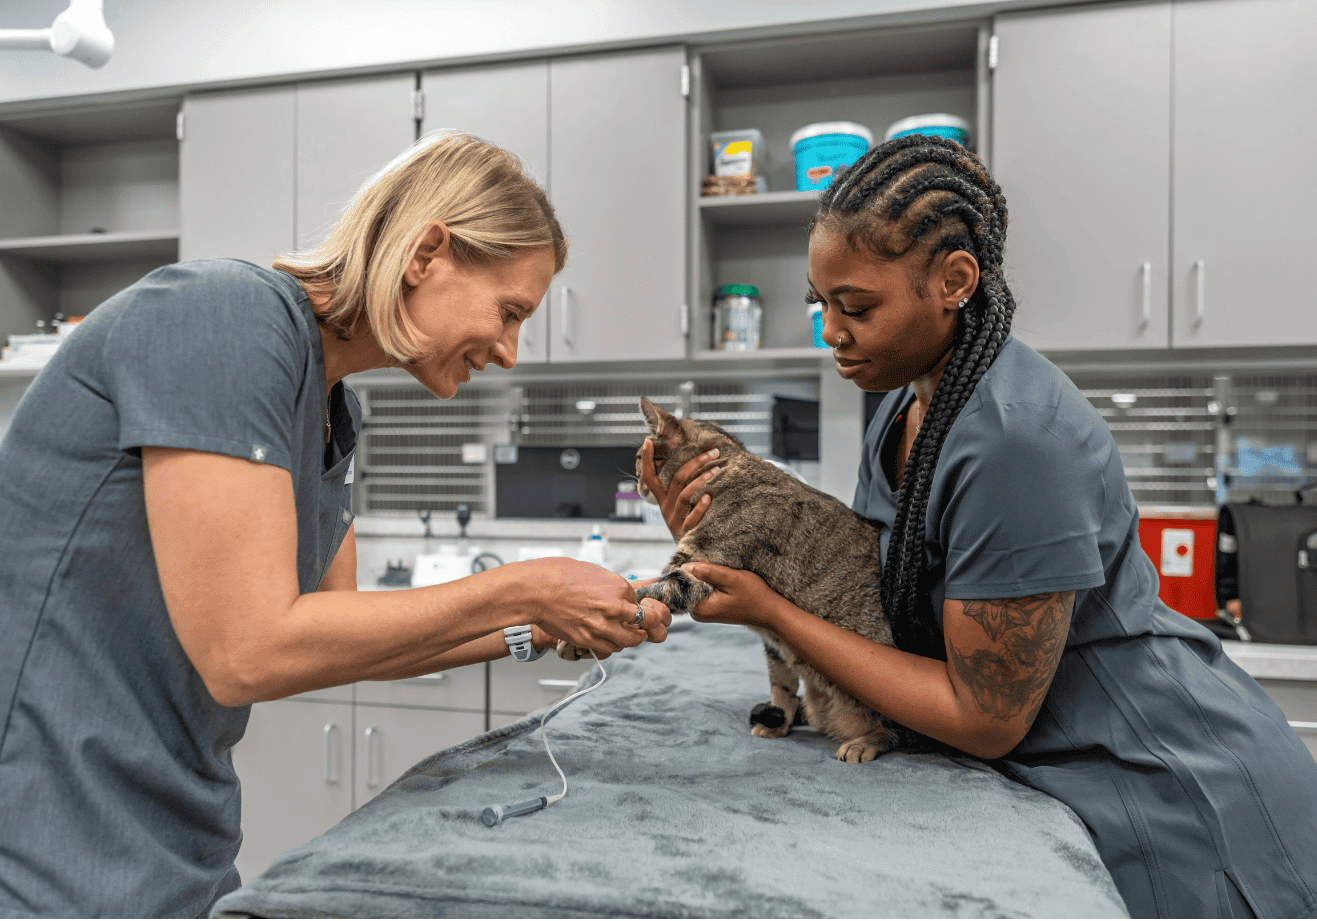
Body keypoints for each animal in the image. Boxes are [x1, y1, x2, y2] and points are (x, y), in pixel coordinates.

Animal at [561, 395, 900, 764]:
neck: (725, 469)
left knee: (897, 731)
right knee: (785, 688)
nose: (636, 483)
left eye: (639, 458)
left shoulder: (693, 571)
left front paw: (578, 634)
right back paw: (783, 722)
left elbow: (641, 592)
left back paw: (864, 742)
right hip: (778, 649)